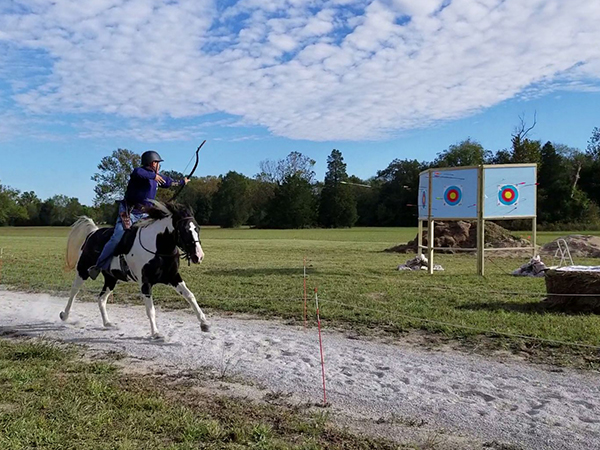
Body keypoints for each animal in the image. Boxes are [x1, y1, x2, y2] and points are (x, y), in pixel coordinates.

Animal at [62, 200, 210, 338]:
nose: (199, 256)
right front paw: (156, 333)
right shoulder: (145, 282)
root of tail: (93, 232)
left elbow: (190, 295)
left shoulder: (173, 277)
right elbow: (150, 309)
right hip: (83, 270)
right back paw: (65, 315)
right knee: (74, 291)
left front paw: (204, 323)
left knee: (101, 298)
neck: (157, 249)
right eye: (184, 230)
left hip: (111, 279)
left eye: (197, 228)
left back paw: (108, 323)